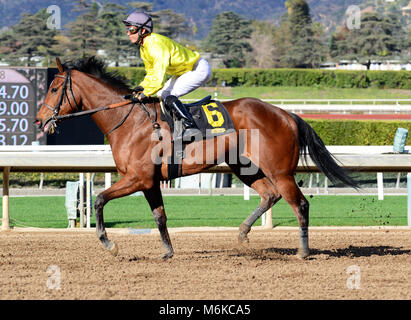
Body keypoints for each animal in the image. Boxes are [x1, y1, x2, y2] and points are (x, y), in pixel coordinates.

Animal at [36, 57, 358, 260]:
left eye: (54, 88)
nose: (40, 120)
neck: (129, 121)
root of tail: (287, 115)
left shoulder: (137, 178)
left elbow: (100, 199)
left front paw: (110, 244)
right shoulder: (150, 181)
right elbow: (159, 216)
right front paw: (167, 252)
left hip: (279, 170)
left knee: (299, 203)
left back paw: (303, 251)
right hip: (245, 167)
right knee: (270, 195)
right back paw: (242, 234)